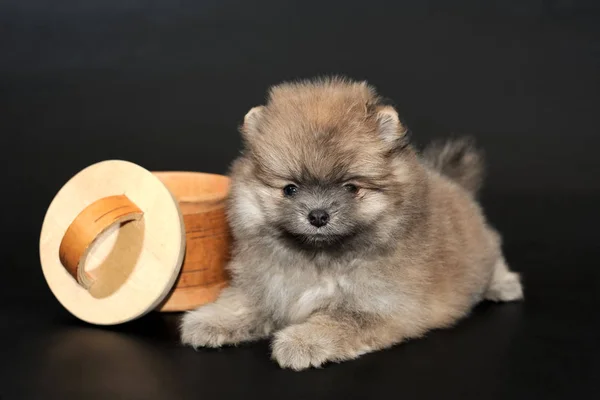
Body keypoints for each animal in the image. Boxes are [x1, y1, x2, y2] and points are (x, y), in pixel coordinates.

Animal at [180, 76, 524, 370]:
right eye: (290, 189)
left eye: (351, 188)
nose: (318, 215)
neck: (320, 260)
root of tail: (453, 184)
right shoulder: (266, 286)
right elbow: (242, 303)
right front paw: (211, 321)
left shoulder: (378, 307)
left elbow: (337, 321)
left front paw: (300, 341)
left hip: (483, 252)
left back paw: (503, 284)